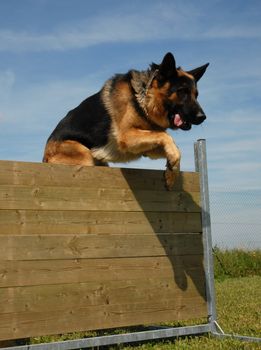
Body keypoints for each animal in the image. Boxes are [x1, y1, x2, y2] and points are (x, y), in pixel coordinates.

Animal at [43, 52, 209, 190]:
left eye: (196, 94)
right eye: (182, 92)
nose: (202, 117)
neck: (143, 99)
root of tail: (44, 158)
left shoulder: (146, 147)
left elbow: (173, 146)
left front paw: (171, 172)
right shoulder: (127, 137)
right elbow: (166, 136)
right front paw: (172, 163)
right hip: (84, 155)